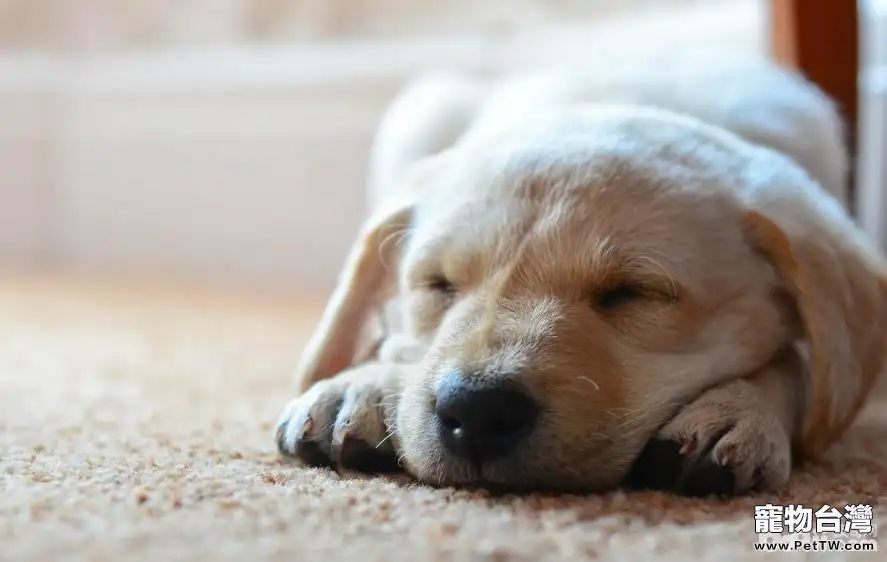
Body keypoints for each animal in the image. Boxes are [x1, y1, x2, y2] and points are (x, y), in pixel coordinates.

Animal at [274, 53, 884, 494]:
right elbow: (395, 341)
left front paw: (741, 409)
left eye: (632, 293)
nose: (476, 410)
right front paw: (360, 383)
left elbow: (798, 366)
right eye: (438, 285)